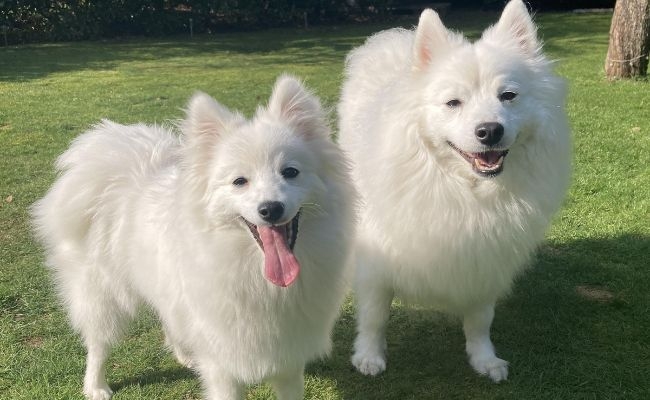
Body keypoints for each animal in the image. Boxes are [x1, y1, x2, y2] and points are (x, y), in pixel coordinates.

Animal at [31, 76, 354, 400]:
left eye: (290, 172)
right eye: (239, 181)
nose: (271, 209)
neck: (256, 276)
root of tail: (118, 169)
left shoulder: (289, 360)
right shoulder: (223, 367)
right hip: (103, 295)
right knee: (98, 343)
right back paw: (96, 385)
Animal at [336, 0, 568, 382]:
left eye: (508, 96)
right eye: (453, 103)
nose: (489, 130)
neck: (466, 191)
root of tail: (394, 37)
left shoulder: (485, 259)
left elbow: (480, 321)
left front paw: (484, 359)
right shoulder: (376, 262)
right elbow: (374, 316)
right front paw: (368, 356)